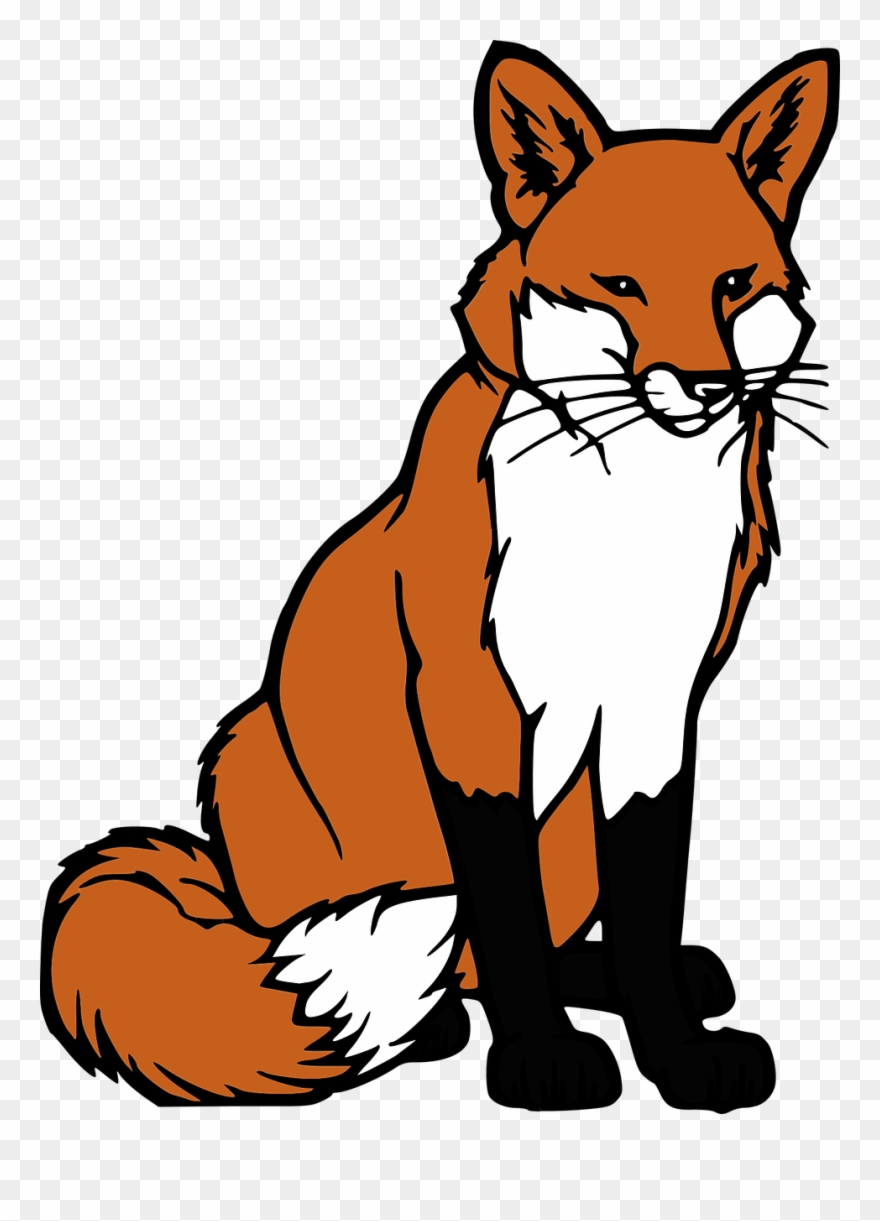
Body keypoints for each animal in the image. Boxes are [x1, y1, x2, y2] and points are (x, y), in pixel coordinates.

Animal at [41, 42, 839, 1113]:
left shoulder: (659, 709)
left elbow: (646, 906)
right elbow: (502, 909)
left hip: (570, 830)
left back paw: (633, 981)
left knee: (533, 944)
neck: (626, 517)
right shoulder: (471, 702)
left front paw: (674, 1050)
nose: (707, 387)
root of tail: (228, 893)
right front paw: (540, 1059)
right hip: (250, 755)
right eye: (621, 283)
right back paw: (439, 1024)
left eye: (733, 282)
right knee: (445, 956)